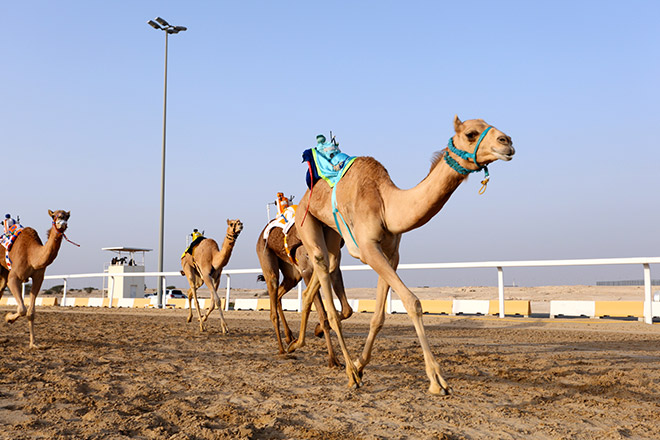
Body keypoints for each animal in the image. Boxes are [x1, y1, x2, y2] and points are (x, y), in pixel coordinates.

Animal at [0, 210, 71, 350]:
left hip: (4, 272)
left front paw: (34, 344)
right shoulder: (14, 277)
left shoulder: (38, 278)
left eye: (67, 216)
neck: (31, 255)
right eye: (54, 215)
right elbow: (22, 309)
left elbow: (30, 312)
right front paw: (8, 318)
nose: (62, 223)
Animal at [255, 223, 354, 368]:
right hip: (268, 260)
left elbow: (347, 310)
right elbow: (322, 314)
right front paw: (333, 360)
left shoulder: (333, 267)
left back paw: (289, 337)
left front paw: (317, 330)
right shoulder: (307, 270)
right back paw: (282, 349)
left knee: (279, 295)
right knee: (273, 307)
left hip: (292, 276)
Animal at [288, 117, 516, 396]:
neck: (387, 205)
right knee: (324, 279)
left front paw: (361, 364)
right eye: (471, 133)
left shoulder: (391, 254)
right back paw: (348, 372)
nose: (507, 142)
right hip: (307, 220)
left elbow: (378, 317)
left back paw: (298, 343)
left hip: (331, 233)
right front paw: (437, 380)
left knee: (322, 275)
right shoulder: (368, 249)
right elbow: (412, 302)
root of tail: (303, 198)